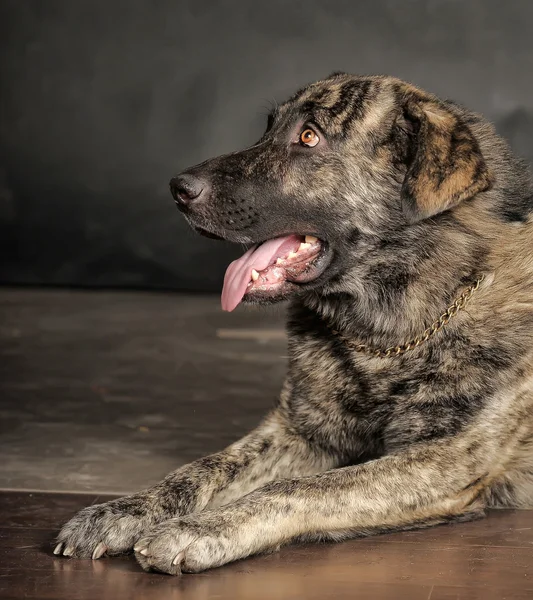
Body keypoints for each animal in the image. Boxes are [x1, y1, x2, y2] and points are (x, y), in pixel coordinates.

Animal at [53, 72, 532, 576]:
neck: (387, 335)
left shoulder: (441, 462)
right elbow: (203, 468)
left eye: (308, 137)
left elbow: (301, 489)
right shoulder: (299, 432)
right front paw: (123, 510)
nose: (176, 188)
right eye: (268, 127)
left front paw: (202, 530)